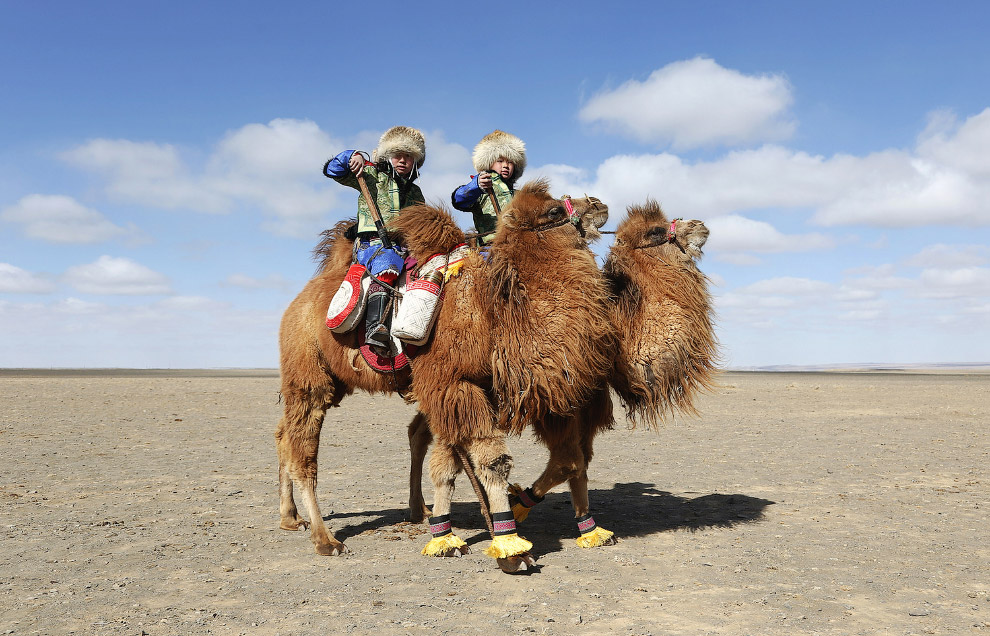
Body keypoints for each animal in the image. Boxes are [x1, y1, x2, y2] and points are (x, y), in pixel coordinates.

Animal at [276, 179, 616, 568]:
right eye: (555, 211)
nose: (598, 203)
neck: (491, 313)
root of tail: (300, 301)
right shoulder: (454, 384)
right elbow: (490, 462)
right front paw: (508, 547)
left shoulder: (465, 389)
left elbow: (452, 461)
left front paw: (454, 531)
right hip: (307, 377)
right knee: (303, 452)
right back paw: (325, 539)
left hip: (333, 382)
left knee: (287, 435)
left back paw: (296, 518)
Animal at [404, 201, 720, 548]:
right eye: (656, 231)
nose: (700, 225)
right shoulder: (463, 385)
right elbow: (547, 461)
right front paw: (498, 528)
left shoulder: (575, 399)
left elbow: (574, 462)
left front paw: (584, 526)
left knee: (419, 434)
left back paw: (418, 511)